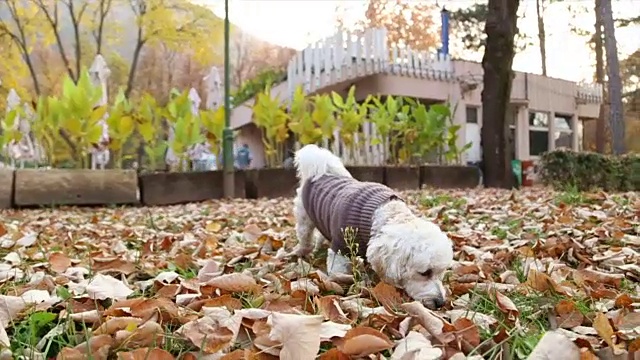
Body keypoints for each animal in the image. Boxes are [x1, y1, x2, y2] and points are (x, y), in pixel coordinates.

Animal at [288, 145, 452, 308]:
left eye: (442, 272)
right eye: (425, 273)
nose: (440, 302)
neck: (383, 213)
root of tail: (321, 171)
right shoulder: (340, 248)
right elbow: (338, 271)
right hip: (304, 218)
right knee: (305, 237)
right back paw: (301, 251)